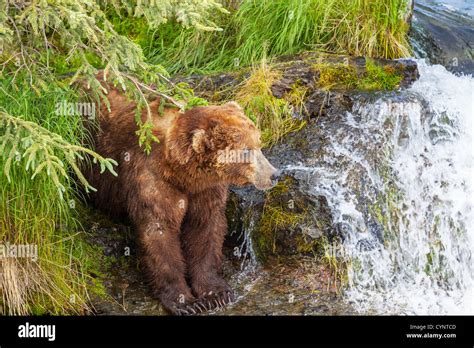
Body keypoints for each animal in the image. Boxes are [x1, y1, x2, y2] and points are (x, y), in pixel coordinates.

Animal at [83, 74, 280, 316]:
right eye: (246, 151)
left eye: (259, 143)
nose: (274, 174)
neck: (180, 171)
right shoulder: (151, 176)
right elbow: (159, 231)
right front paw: (186, 302)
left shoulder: (204, 190)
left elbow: (205, 229)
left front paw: (216, 294)